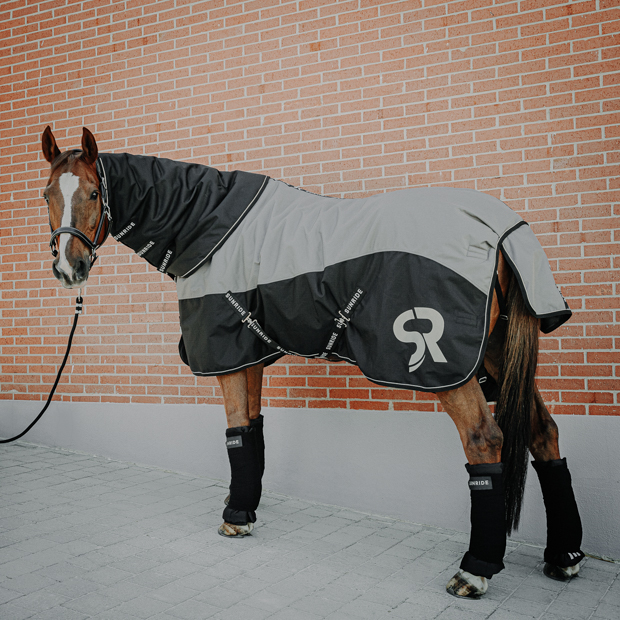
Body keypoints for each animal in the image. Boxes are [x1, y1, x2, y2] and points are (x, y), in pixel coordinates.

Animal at [40, 126, 588, 600]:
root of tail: (501, 229)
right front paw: (245, 512)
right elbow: (251, 432)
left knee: (484, 440)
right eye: (46, 194)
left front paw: (234, 517)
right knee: (543, 432)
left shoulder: (227, 354)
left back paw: (474, 571)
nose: (69, 269)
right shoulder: (250, 353)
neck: (208, 224)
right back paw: (563, 556)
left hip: (448, 367)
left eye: (94, 193)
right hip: (496, 351)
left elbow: (234, 430)